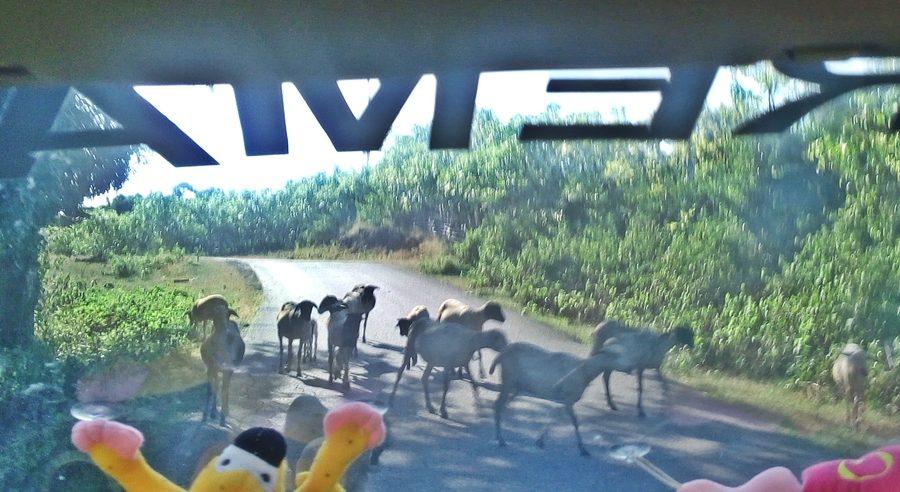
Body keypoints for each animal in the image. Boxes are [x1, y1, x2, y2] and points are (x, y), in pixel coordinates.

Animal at [490, 342, 629, 456]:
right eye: (616, 355)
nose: (630, 368)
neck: (585, 372)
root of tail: (502, 352)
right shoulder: (569, 399)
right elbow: (575, 422)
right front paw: (583, 449)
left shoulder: (564, 399)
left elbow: (555, 418)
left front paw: (540, 440)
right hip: (508, 380)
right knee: (498, 404)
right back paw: (501, 439)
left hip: (516, 385)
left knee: (504, 404)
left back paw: (500, 433)